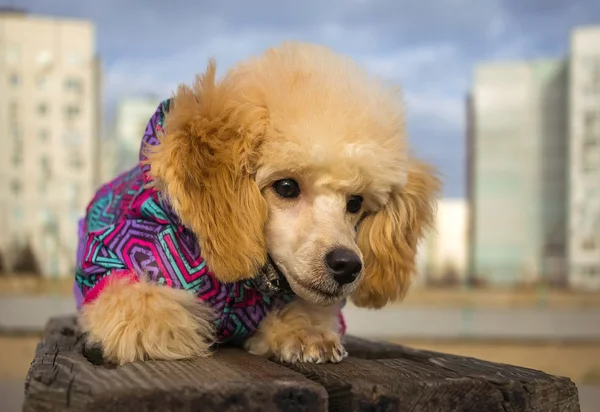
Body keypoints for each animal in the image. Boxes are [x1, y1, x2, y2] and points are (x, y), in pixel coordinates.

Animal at [76, 41, 440, 364]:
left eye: (355, 203)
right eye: (286, 186)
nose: (347, 265)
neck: (245, 287)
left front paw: (305, 333)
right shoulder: (117, 258)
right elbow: (143, 313)